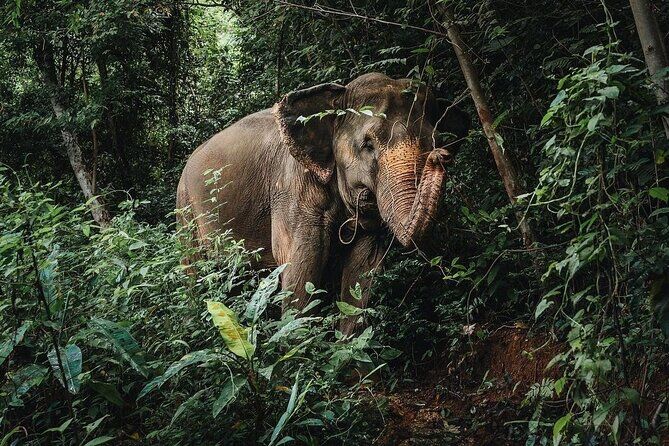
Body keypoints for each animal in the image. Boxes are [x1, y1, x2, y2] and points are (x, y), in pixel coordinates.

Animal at [176, 72, 469, 333]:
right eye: (368, 144)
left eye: (433, 140)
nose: (440, 155)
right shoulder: (291, 189)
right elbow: (301, 267)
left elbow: (363, 271)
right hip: (185, 210)